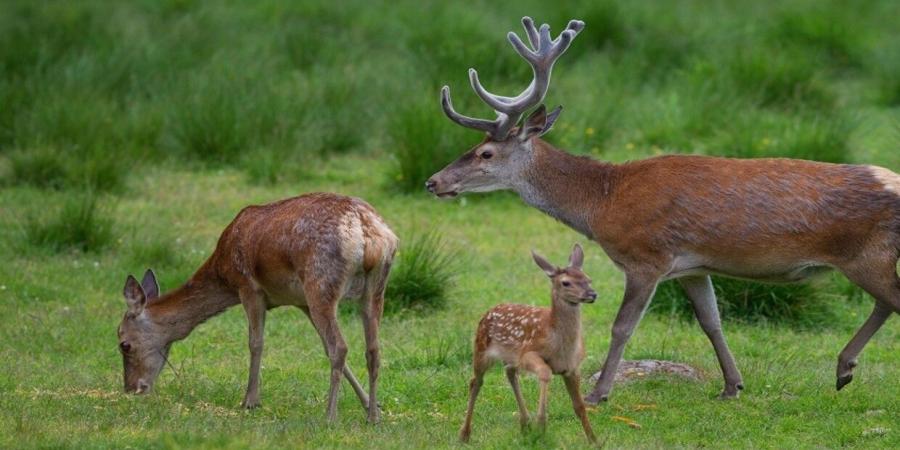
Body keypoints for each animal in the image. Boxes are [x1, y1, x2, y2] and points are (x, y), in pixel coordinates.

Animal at [116, 192, 398, 422]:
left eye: (124, 344)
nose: (131, 388)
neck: (223, 272)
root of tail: (368, 235)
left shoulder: (248, 287)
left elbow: (255, 343)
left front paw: (250, 401)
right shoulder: (301, 302)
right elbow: (323, 348)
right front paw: (371, 404)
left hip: (321, 284)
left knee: (340, 347)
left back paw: (329, 417)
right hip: (374, 288)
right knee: (372, 349)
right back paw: (373, 418)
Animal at [428, 17, 900, 404]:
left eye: (485, 153)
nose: (433, 181)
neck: (603, 201)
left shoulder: (646, 256)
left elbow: (622, 325)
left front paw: (599, 393)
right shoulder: (693, 266)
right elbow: (712, 321)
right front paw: (732, 385)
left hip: (868, 255)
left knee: (891, 300)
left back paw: (844, 368)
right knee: (885, 303)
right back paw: (843, 369)